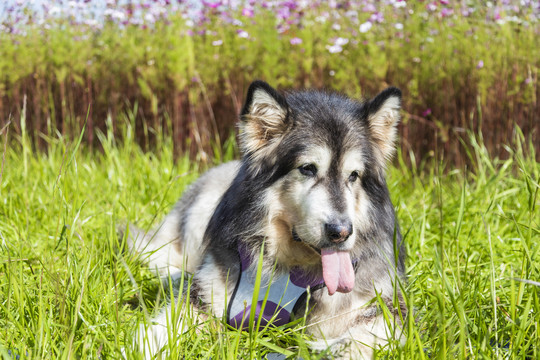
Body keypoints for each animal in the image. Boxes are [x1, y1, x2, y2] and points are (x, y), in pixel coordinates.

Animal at [126, 80, 404, 358]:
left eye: (354, 175)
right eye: (307, 168)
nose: (341, 232)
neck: (296, 270)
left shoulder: (384, 309)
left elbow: (357, 338)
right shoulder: (209, 294)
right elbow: (166, 326)